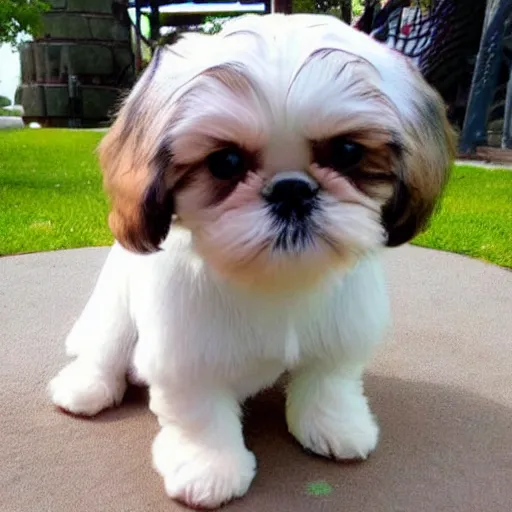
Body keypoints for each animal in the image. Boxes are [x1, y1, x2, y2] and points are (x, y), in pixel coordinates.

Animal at [50, 12, 454, 508]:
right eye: (225, 161)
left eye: (347, 152)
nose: (292, 189)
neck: (274, 279)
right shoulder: (187, 355)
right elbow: (202, 415)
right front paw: (209, 467)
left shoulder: (339, 336)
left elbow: (329, 382)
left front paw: (335, 425)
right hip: (112, 308)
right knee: (103, 350)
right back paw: (86, 388)